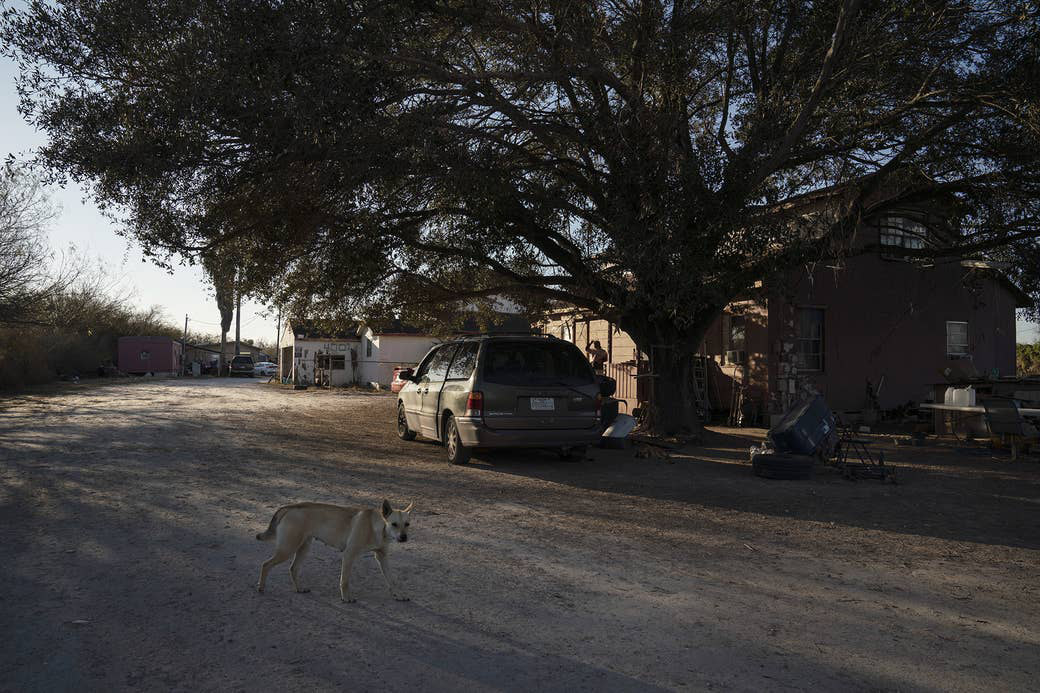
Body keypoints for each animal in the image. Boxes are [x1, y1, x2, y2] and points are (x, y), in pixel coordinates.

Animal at [253, 497, 411, 599]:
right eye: (394, 524)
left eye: (407, 524)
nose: (404, 537)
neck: (377, 527)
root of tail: (290, 507)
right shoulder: (349, 555)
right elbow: (345, 580)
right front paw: (346, 598)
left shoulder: (382, 557)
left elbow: (391, 579)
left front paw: (399, 594)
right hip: (287, 549)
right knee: (265, 565)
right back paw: (261, 588)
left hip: (303, 548)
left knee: (293, 569)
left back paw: (299, 589)